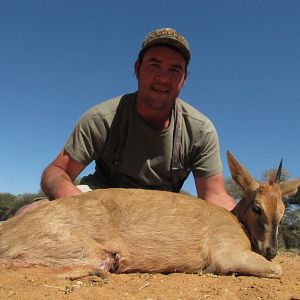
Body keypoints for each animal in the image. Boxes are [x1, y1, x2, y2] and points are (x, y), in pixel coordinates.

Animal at [0, 151, 300, 278]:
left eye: (283, 210)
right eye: (257, 207)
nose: (271, 250)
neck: (236, 221)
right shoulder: (227, 255)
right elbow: (278, 270)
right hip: (86, 253)